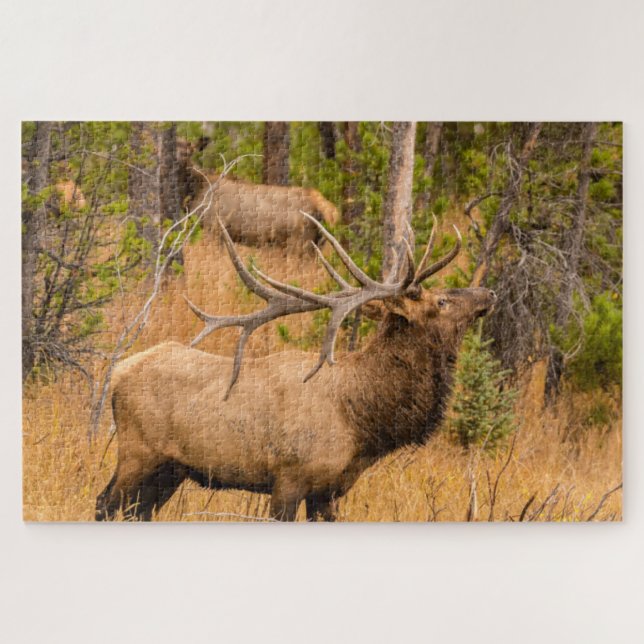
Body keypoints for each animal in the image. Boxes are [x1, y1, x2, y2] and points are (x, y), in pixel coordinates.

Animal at [96, 214, 496, 521]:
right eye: (442, 301)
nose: (488, 293)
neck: (361, 419)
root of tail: (119, 371)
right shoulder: (289, 477)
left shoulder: (329, 491)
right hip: (138, 452)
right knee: (104, 504)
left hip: (171, 468)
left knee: (137, 512)